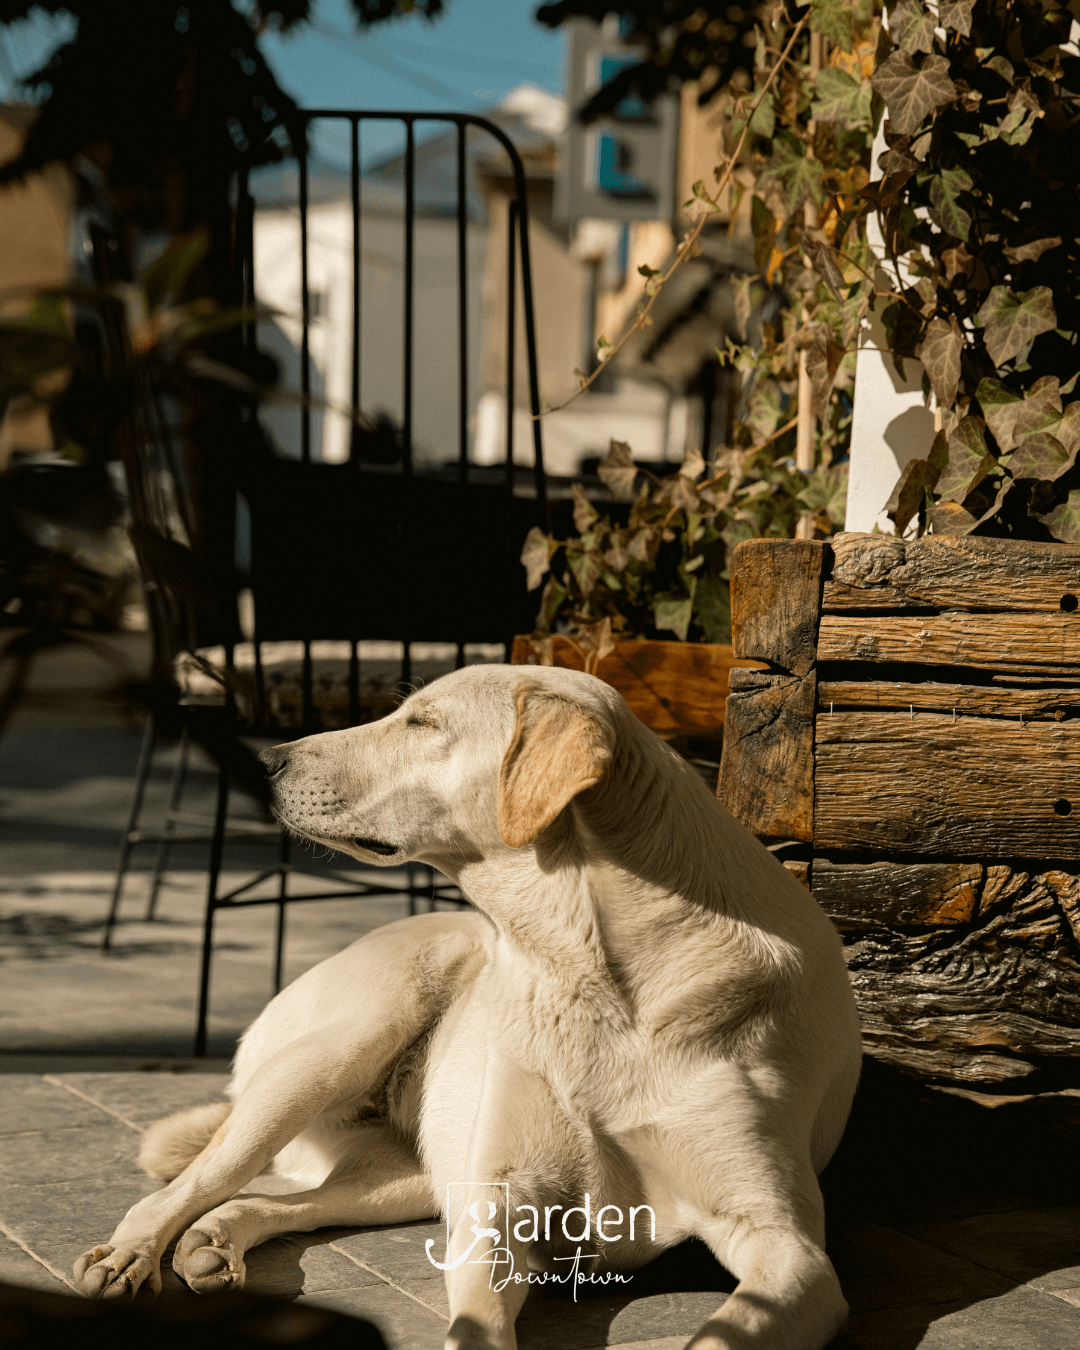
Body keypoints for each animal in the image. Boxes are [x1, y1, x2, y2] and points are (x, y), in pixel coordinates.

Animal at [73, 666, 858, 1350]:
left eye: (423, 723)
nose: (267, 761)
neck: (589, 972)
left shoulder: (789, 1250)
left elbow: (722, 1335)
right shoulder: (495, 1213)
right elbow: (476, 1327)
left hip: (406, 1177)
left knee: (282, 1198)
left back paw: (213, 1243)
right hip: (343, 1045)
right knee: (198, 1179)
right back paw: (129, 1254)